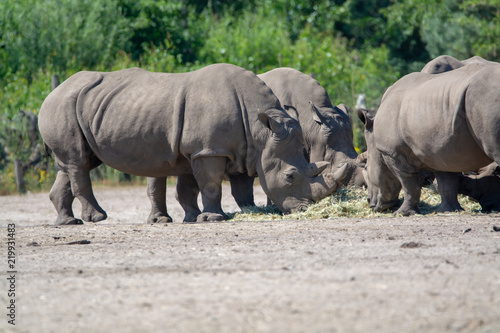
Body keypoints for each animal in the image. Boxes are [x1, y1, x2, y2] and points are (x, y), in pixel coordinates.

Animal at [39, 63, 346, 223]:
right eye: (291, 176)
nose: (304, 210)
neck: (261, 128)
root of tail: (50, 92)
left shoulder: (219, 150)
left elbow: (202, 187)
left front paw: (197, 217)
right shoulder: (208, 150)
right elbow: (209, 185)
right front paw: (213, 219)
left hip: (78, 106)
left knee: (74, 163)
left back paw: (68, 223)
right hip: (62, 104)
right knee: (79, 162)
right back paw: (97, 218)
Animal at [360, 61, 500, 215]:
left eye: (366, 167)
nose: (369, 202)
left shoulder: (392, 152)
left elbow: (408, 184)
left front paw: (403, 213)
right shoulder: (442, 150)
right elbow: (447, 182)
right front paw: (448, 210)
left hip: (484, 100)